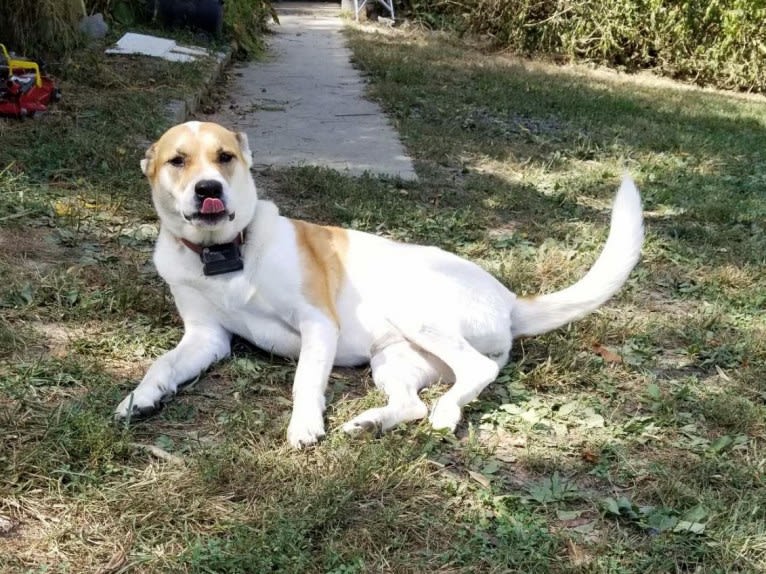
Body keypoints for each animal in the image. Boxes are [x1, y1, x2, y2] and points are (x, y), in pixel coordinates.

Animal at [117, 121, 644, 450]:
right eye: (177, 161)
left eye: (224, 157)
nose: (209, 189)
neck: (225, 254)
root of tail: (510, 300)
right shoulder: (206, 338)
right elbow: (162, 363)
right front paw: (141, 397)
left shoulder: (318, 323)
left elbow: (305, 380)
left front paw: (304, 424)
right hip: (394, 359)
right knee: (412, 405)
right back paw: (373, 423)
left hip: (414, 309)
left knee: (473, 373)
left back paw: (446, 413)